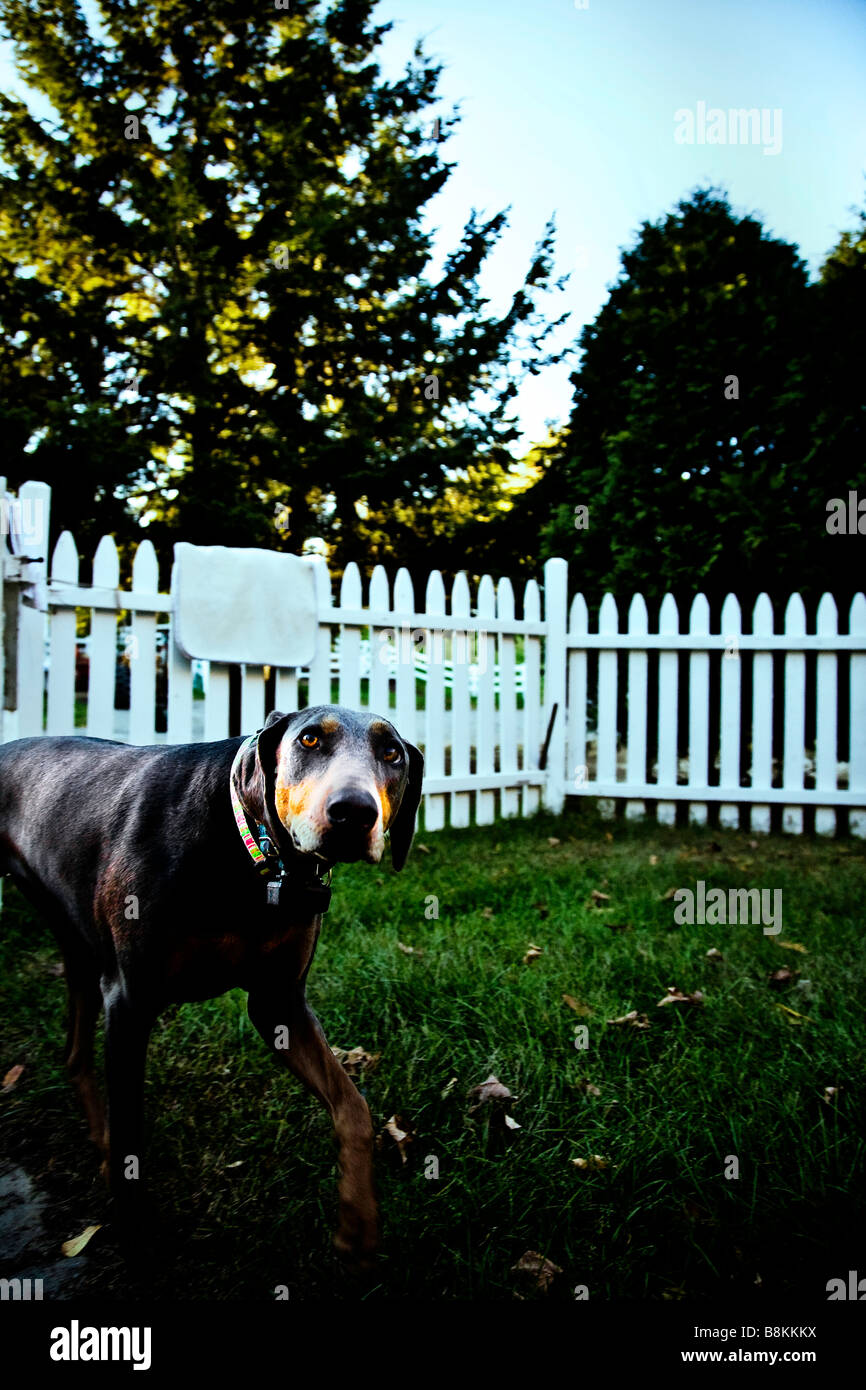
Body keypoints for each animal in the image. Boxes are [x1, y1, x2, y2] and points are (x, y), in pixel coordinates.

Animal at [0, 706, 422, 1262]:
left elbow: (354, 1108)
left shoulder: (278, 1002)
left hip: (77, 946)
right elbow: (131, 1128)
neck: (249, 865)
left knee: (73, 1052)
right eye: (309, 739)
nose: (354, 812)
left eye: (391, 753)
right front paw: (136, 1230)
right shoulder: (129, 1001)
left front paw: (358, 1224)